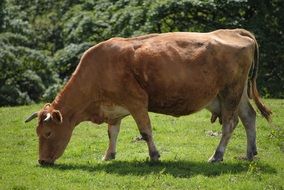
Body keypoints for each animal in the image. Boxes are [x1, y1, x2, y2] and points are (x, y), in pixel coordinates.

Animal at [26, 28, 270, 165]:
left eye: (48, 133)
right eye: (37, 132)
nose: (42, 161)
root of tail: (235, 31)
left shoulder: (136, 102)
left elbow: (145, 131)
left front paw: (154, 156)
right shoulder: (114, 108)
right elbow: (112, 133)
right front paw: (108, 155)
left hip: (230, 92)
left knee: (230, 124)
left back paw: (217, 156)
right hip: (237, 94)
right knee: (249, 117)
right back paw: (249, 154)